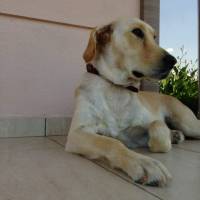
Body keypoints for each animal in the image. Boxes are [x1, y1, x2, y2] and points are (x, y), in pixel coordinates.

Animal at [65, 18, 198, 187]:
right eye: (137, 32)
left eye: (154, 37)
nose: (172, 61)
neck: (116, 88)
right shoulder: (77, 133)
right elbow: (111, 142)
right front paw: (143, 163)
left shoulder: (148, 123)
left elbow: (157, 126)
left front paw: (162, 140)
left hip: (189, 124)